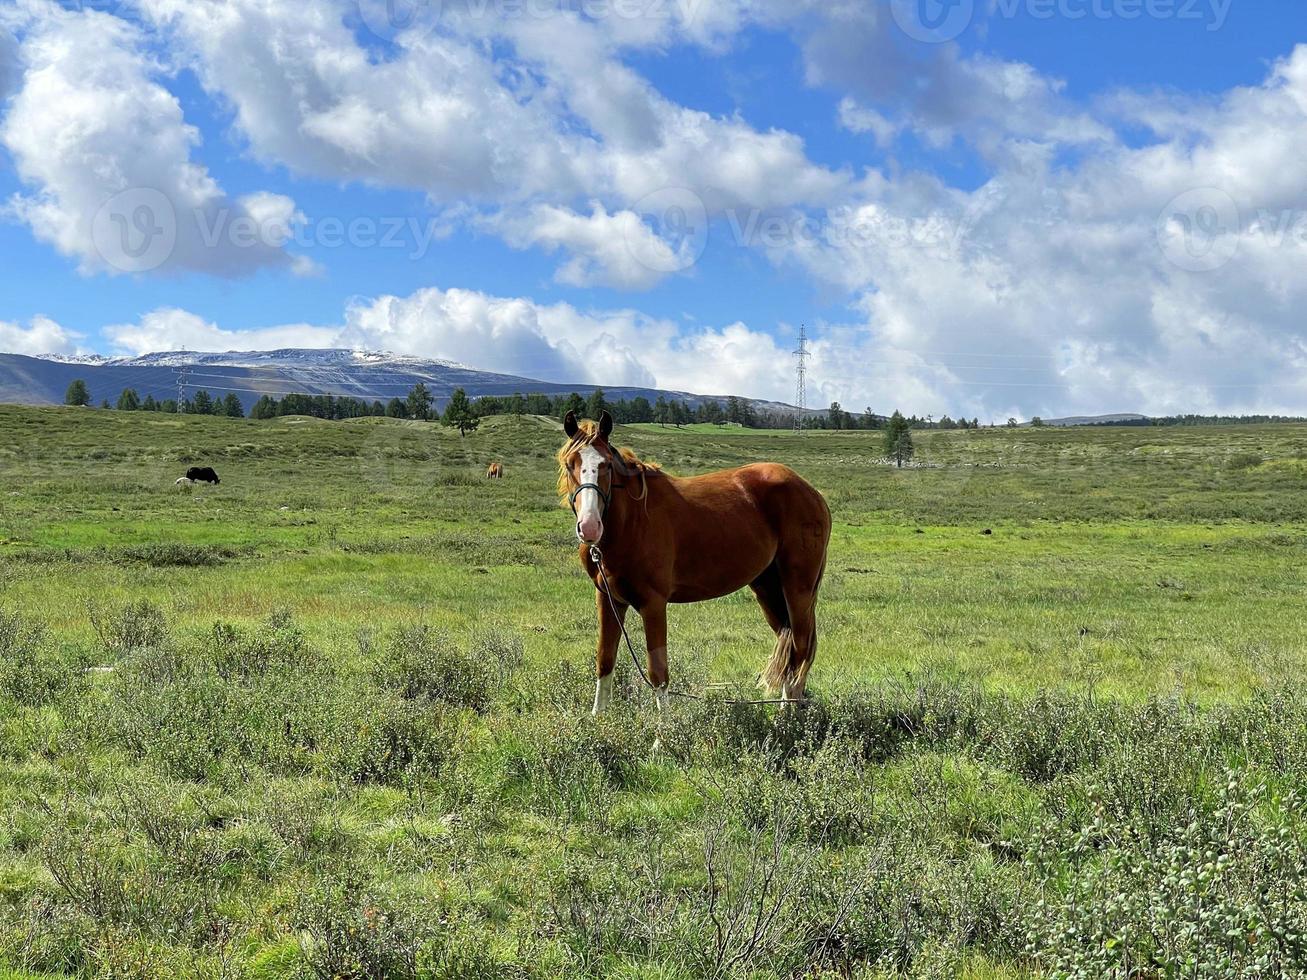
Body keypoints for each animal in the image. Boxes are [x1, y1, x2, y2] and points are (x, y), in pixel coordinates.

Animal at [556, 410, 831, 716]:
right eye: (570, 463)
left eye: (605, 465)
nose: (589, 527)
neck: (632, 522)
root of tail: (811, 492)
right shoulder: (608, 599)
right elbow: (605, 660)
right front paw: (598, 719)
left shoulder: (653, 603)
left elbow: (658, 673)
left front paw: (662, 729)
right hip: (768, 589)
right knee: (791, 648)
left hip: (798, 590)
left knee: (801, 649)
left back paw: (788, 717)